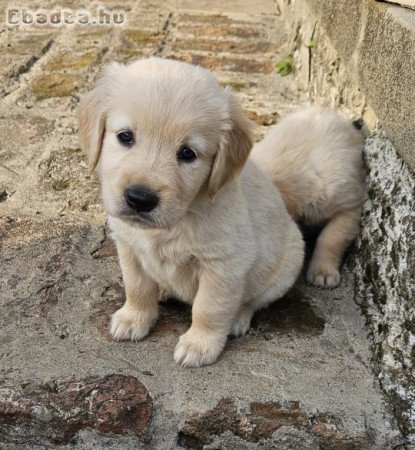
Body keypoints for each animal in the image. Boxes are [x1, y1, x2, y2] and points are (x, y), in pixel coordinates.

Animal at [79, 57, 306, 366]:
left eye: (187, 153)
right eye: (125, 136)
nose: (139, 199)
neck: (176, 221)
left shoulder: (225, 264)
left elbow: (209, 307)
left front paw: (200, 344)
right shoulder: (128, 247)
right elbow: (137, 286)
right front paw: (134, 317)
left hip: (288, 262)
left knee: (254, 299)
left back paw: (238, 317)